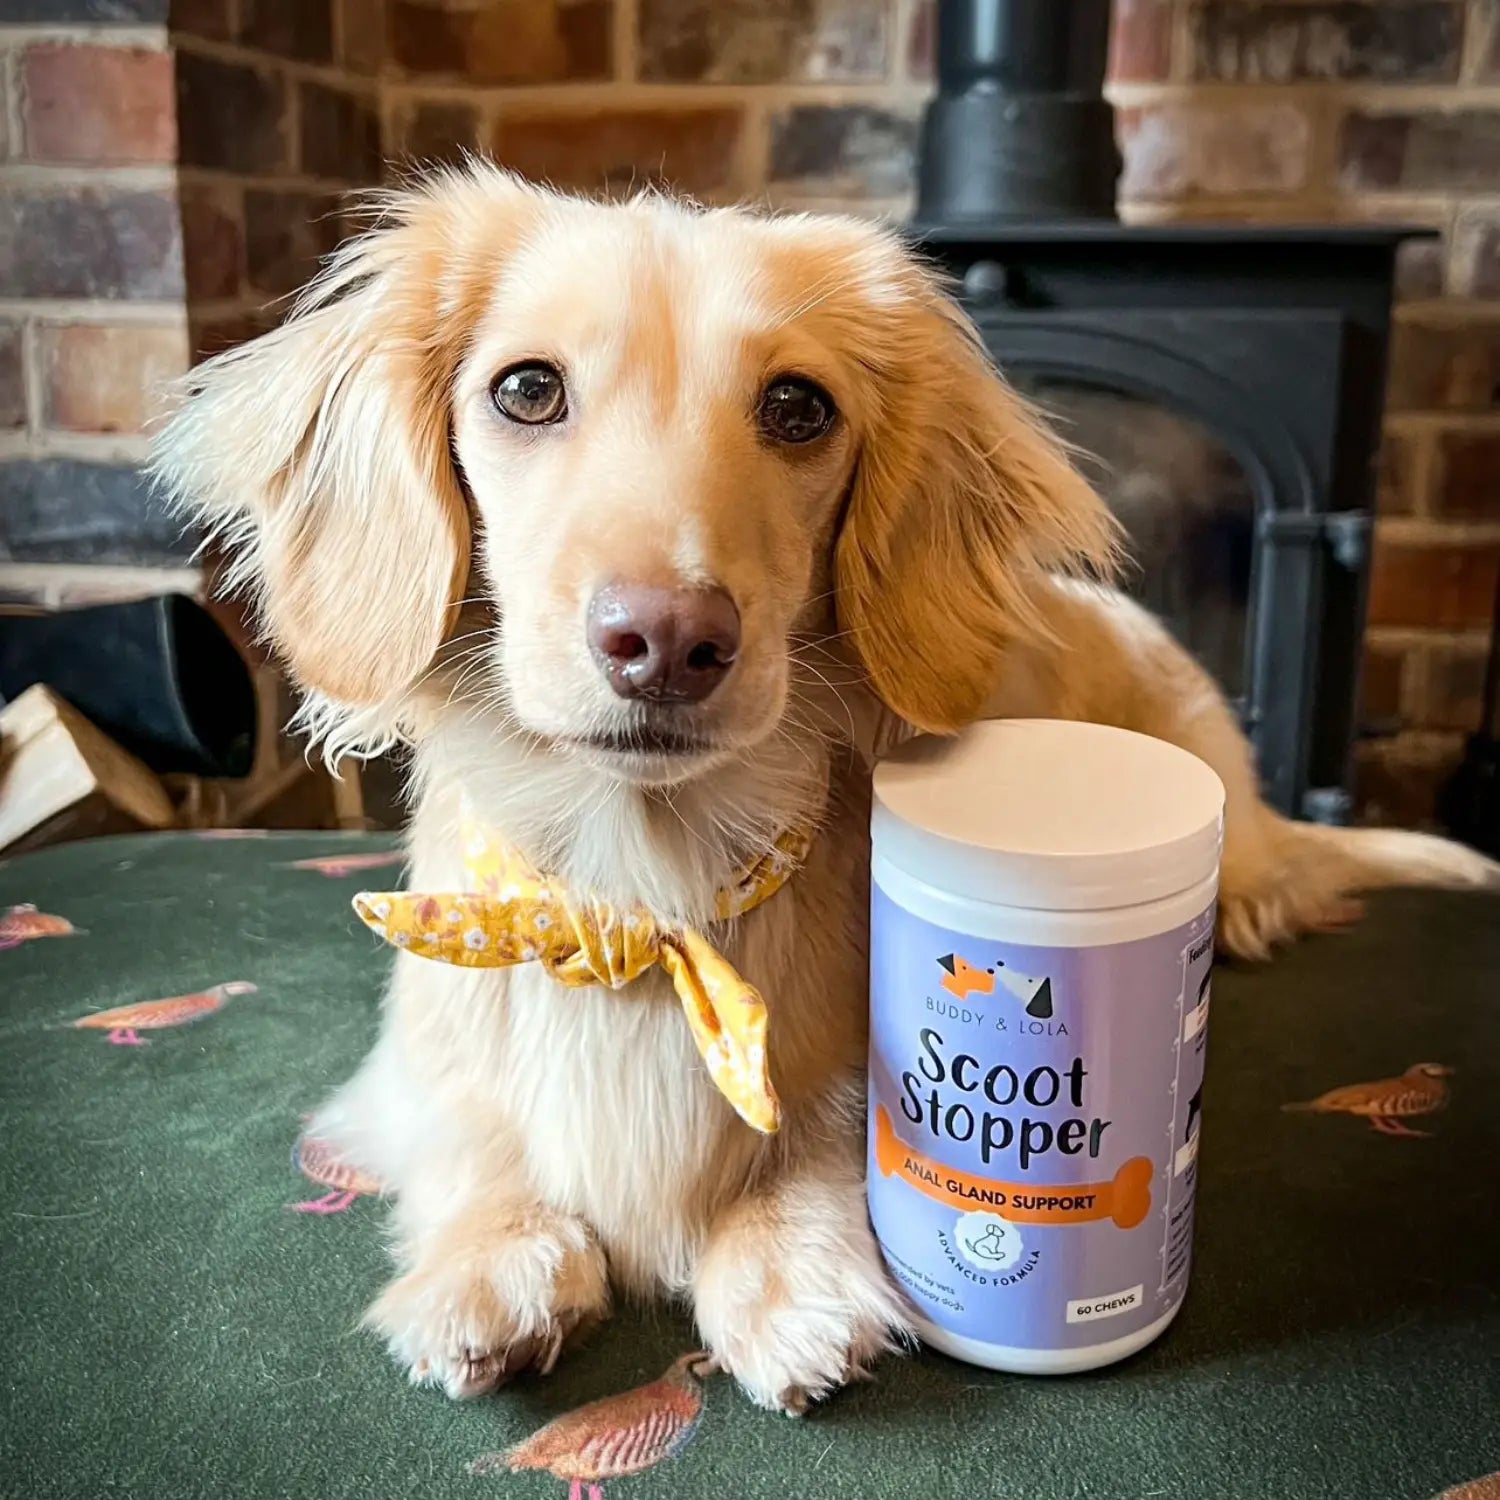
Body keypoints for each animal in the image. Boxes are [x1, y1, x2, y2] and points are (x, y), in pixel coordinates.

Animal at [154, 167, 1496, 1413]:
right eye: (526, 388)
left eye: (799, 406)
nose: (669, 640)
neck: (644, 893)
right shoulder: (413, 1068)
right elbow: (471, 1134)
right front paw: (492, 1259)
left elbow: (823, 1139)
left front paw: (786, 1274)